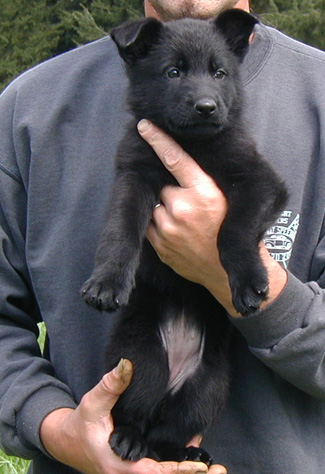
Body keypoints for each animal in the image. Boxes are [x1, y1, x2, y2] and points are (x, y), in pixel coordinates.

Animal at [82, 9, 288, 464]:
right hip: (140, 358)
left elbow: (233, 230)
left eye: (219, 72)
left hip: (207, 387)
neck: (193, 145)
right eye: (173, 72)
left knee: (167, 434)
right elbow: (120, 228)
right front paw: (107, 282)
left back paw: (188, 455)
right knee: (137, 415)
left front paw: (249, 282)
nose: (207, 107)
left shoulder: (259, 180)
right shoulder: (134, 174)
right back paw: (128, 439)